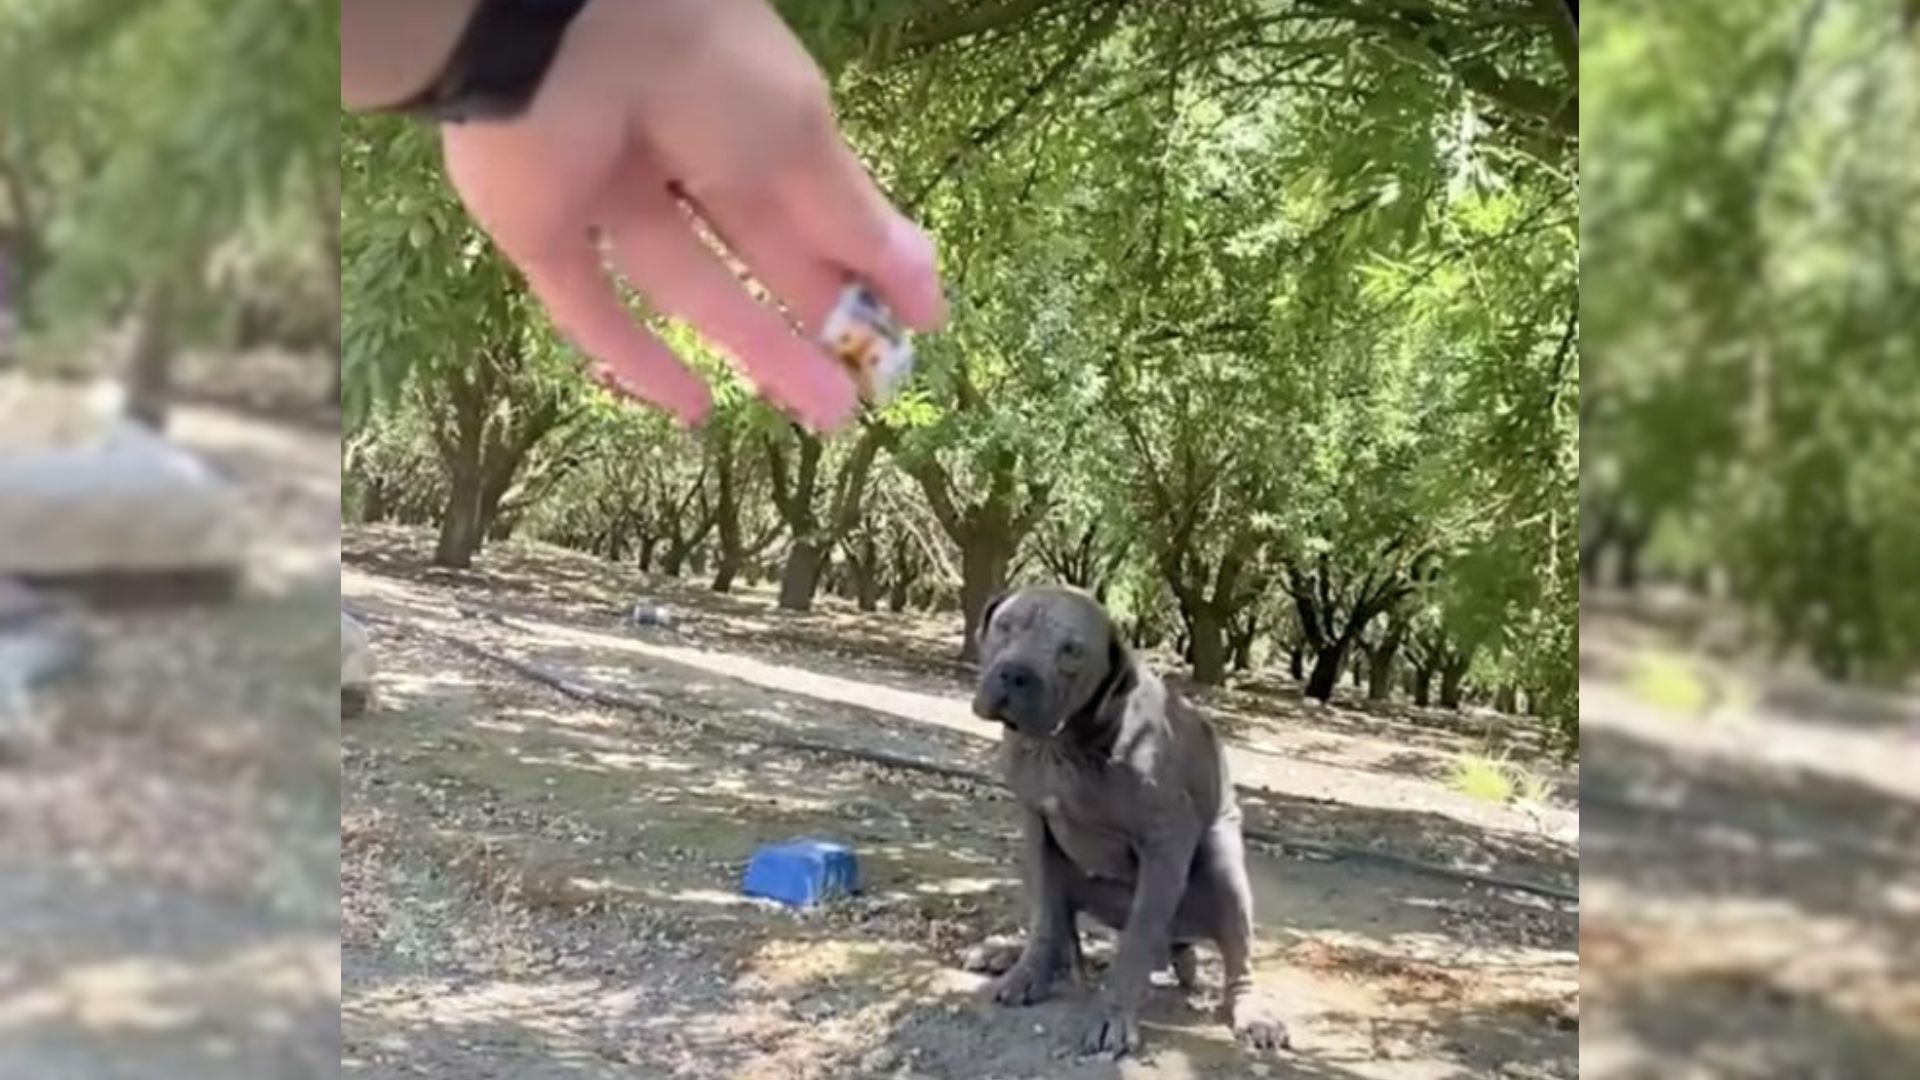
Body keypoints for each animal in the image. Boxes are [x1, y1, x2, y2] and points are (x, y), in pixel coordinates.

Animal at [975, 580, 1290, 1053]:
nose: (1015, 672)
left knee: (1233, 954)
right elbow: (1046, 915)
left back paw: (1252, 1015)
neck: (1065, 744)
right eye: (1005, 626)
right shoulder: (1035, 825)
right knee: (1064, 930)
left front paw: (1114, 1016)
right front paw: (1027, 974)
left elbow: (1135, 944)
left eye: (1071, 650)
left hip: (1224, 876)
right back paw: (1007, 954)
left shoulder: (1165, 843)